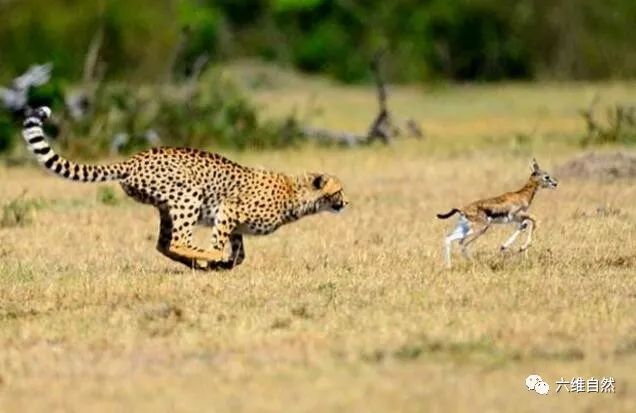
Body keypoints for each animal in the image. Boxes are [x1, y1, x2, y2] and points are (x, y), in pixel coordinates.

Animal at [21, 106, 348, 268]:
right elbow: (221, 243)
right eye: (338, 191)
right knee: (178, 241)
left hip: (167, 208)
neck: (297, 193)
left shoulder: (235, 223)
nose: (346, 204)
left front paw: (225, 264)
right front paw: (217, 258)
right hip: (189, 196)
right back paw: (202, 257)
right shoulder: (229, 210)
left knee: (163, 244)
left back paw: (194, 261)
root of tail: (133, 158)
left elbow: (240, 254)